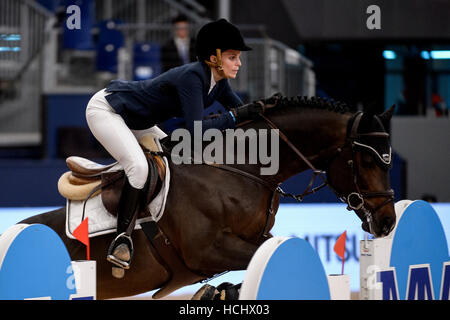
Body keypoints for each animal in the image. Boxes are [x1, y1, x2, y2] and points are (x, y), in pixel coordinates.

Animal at [20, 95, 394, 300]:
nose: (387, 222)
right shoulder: (205, 250)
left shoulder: (255, 237)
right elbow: (250, 260)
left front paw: (219, 292)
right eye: (367, 160)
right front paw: (215, 291)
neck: (241, 168)